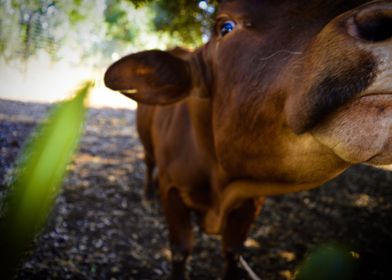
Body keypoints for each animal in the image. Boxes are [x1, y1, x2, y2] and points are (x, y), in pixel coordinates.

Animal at [104, 1, 392, 278]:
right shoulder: (172, 190)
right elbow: (180, 249)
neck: (221, 182)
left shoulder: (252, 201)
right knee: (148, 163)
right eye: (225, 27)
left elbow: (233, 251)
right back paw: (146, 193)